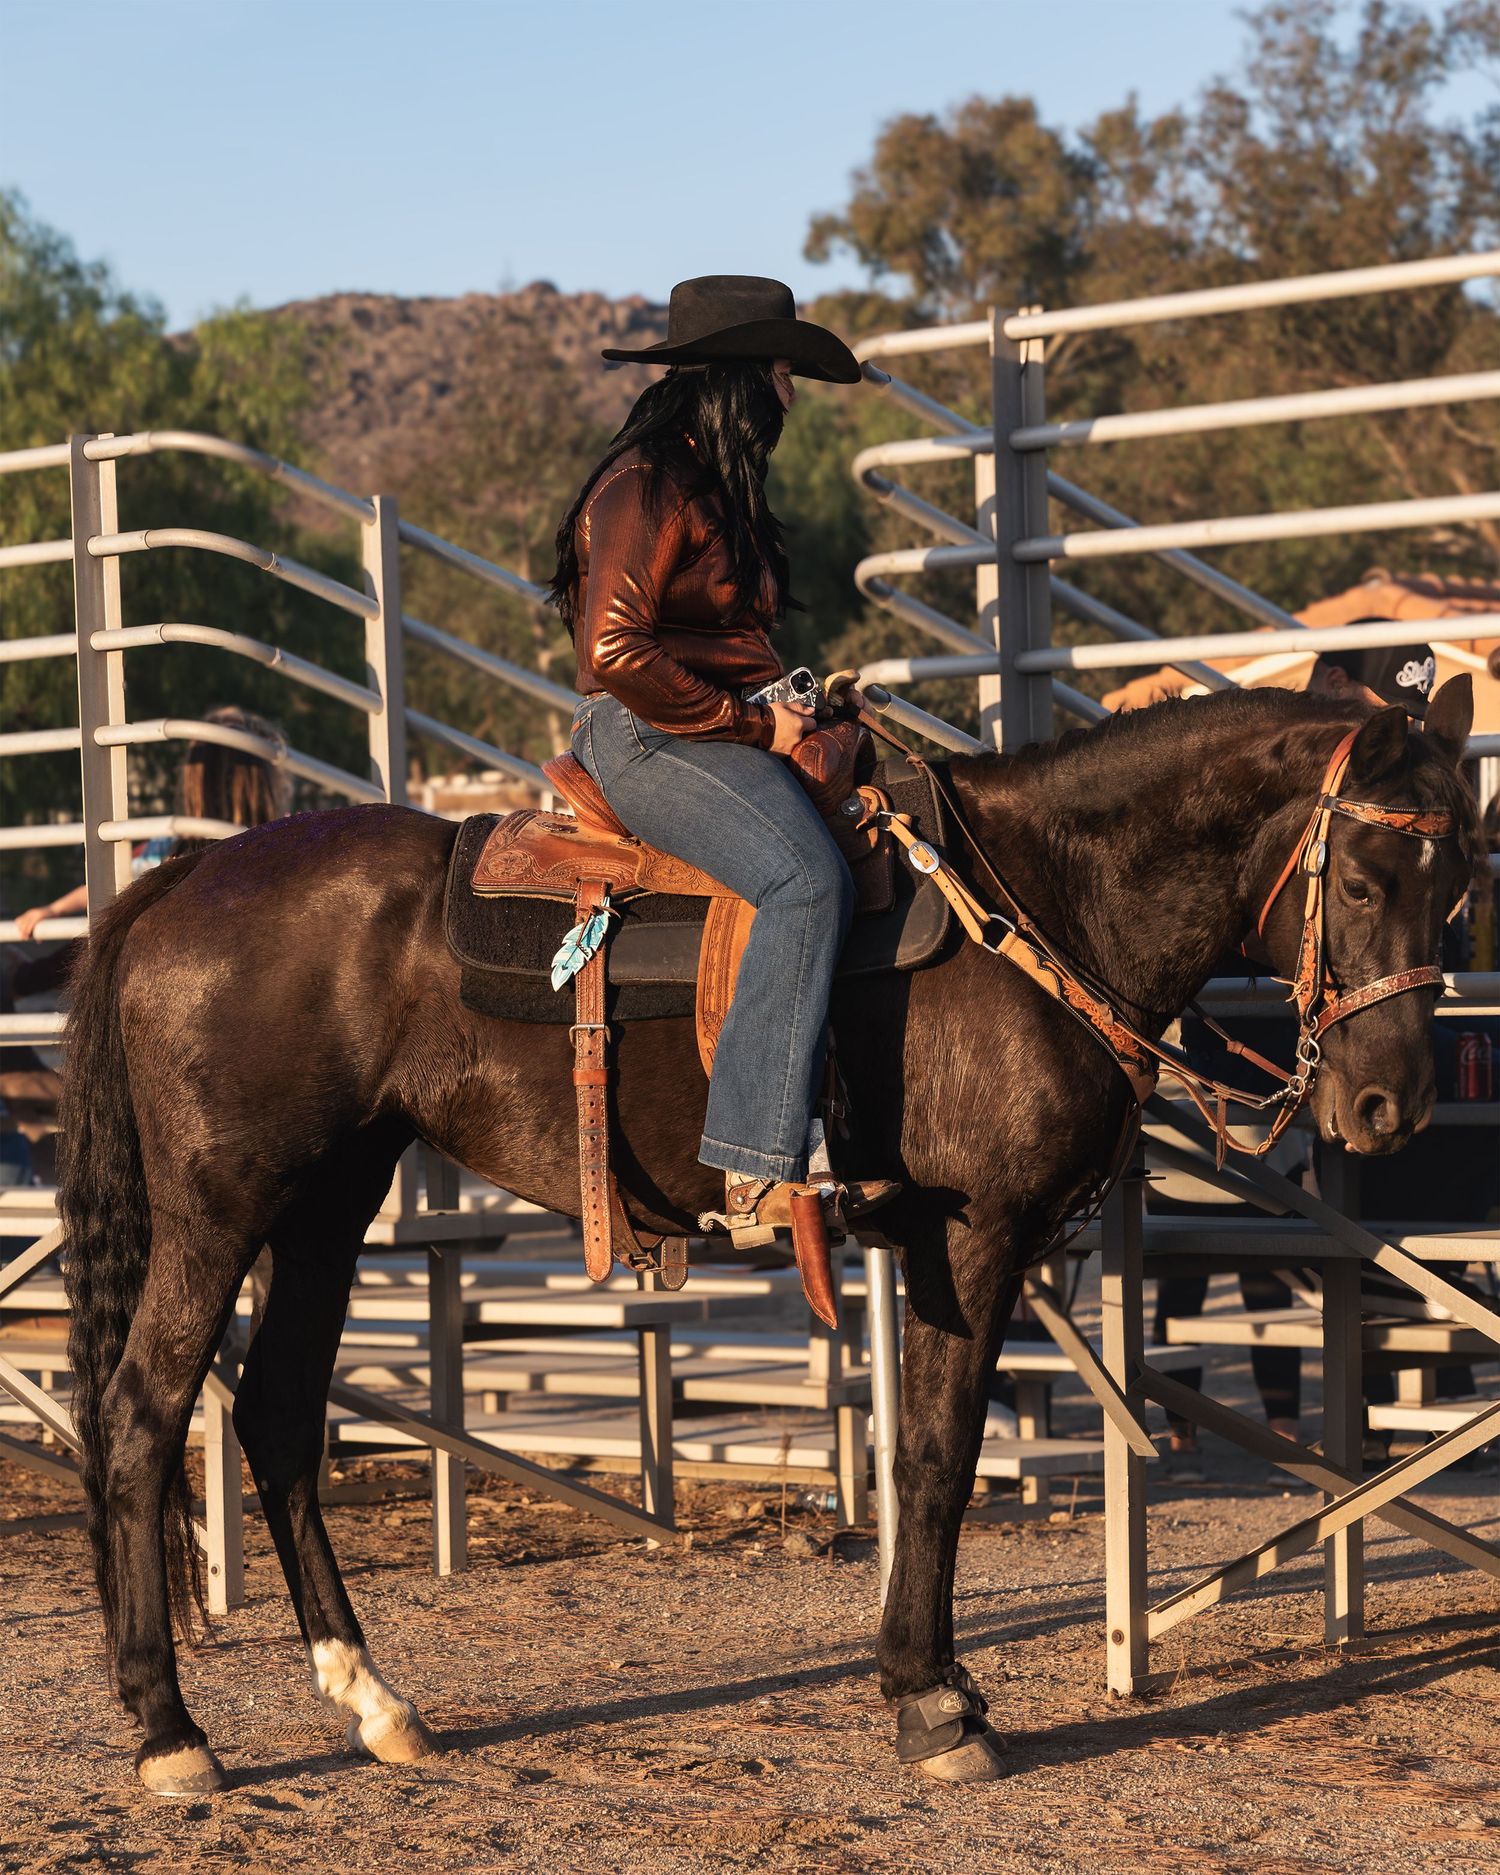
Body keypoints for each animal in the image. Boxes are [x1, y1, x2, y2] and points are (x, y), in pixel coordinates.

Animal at [55, 679, 1480, 1794]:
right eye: (1363, 879)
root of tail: (184, 875)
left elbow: (925, 1458)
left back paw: (371, 1699)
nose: (1391, 1106)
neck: (1039, 906)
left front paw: (932, 1683)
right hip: (221, 1210)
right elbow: (939, 1462)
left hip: (327, 1207)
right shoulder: (972, 1240)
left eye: (1461, 885)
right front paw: (932, 1703)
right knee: (140, 1413)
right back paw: (171, 1733)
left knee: (278, 1417)